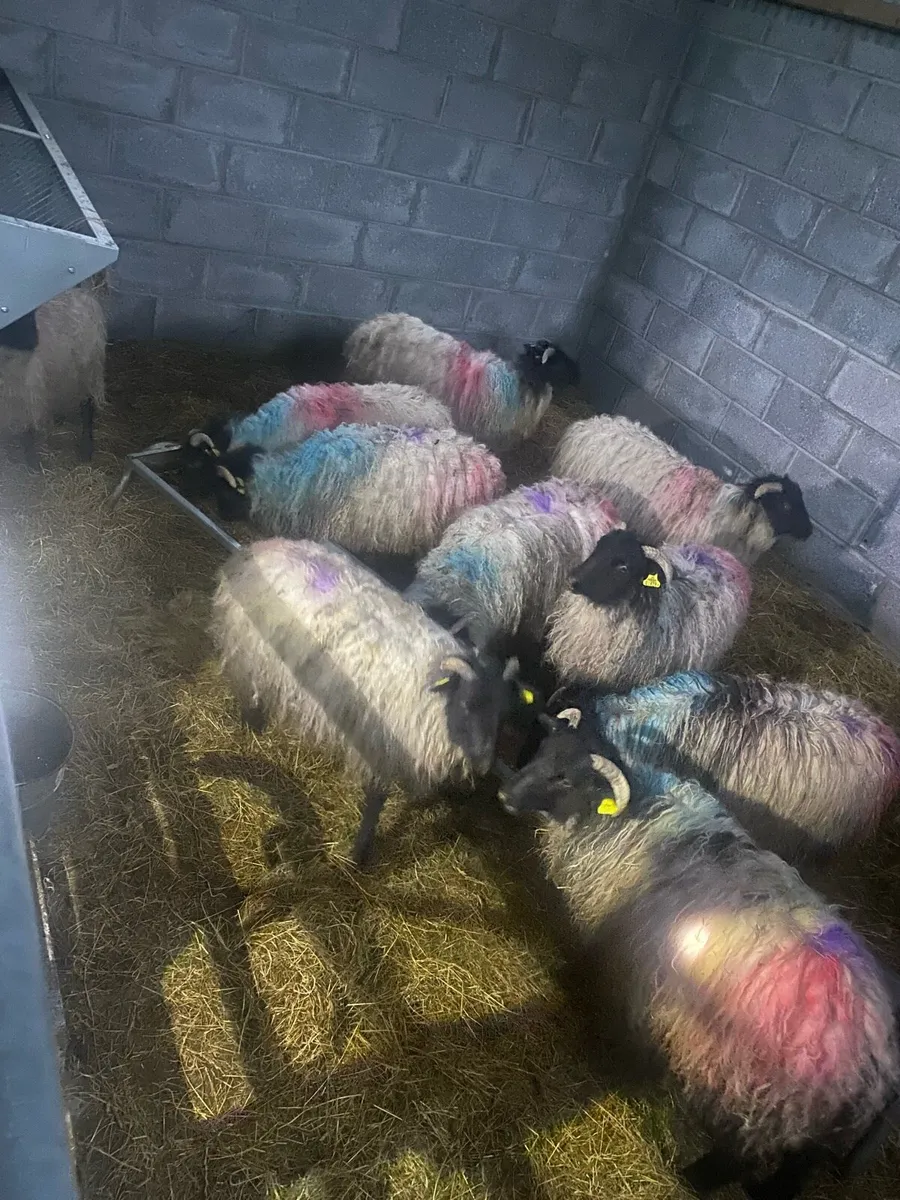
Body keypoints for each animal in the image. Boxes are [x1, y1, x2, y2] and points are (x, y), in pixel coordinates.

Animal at [0, 281, 106, 470]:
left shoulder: (29, 391)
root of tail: (83, 293)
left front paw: (32, 463)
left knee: (87, 406)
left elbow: (29, 427)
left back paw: (86, 449)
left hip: (88, 370)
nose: (33, 341)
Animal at [210, 536, 534, 865]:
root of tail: (263, 546)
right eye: (468, 705)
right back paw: (251, 723)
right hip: (251, 648)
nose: (484, 765)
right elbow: (376, 799)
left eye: (503, 716)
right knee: (248, 683)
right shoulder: (382, 746)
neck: (431, 685)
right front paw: (361, 851)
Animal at [497, 704, 900, 1199]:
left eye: (564, 777)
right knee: (801, 1164)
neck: (639, 818)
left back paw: (698, 1178)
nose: (504, 794)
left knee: (758, 1155)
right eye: (543, 750)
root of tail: (880, 1054)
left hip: (776, 1104)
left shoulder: (629, 950)